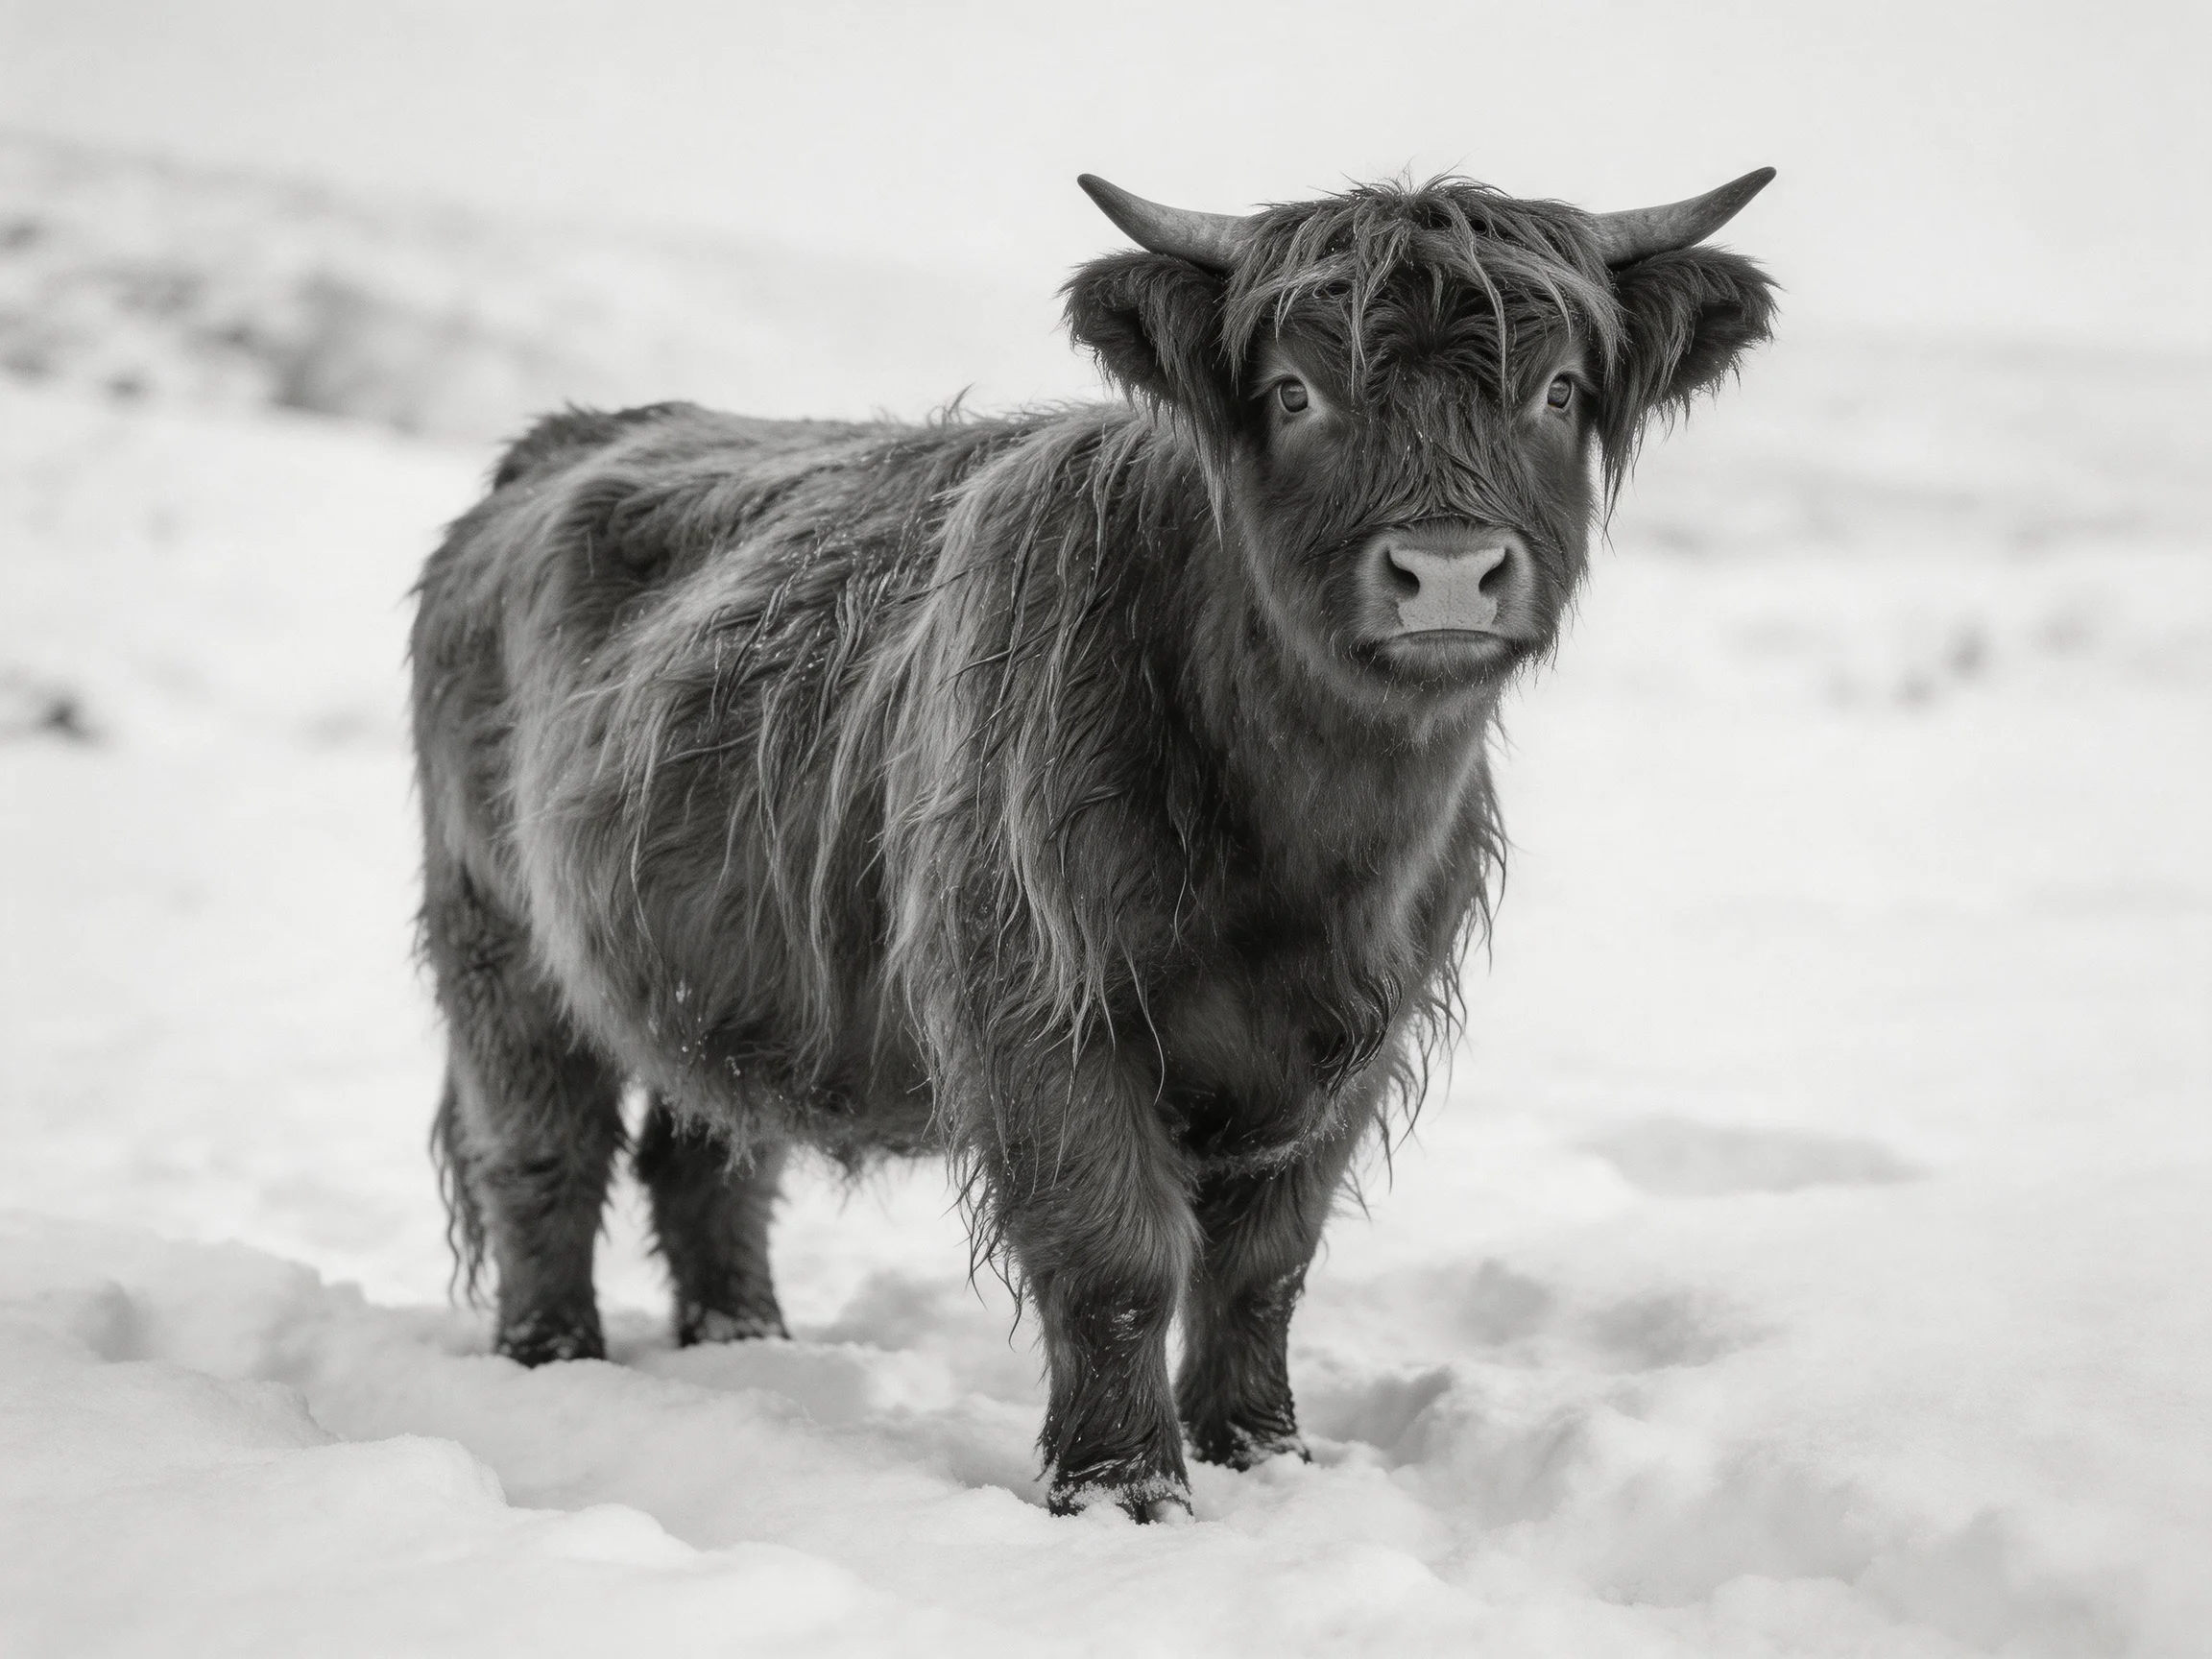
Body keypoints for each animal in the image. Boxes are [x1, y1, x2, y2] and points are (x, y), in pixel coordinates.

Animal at [410, 167, 1777, 1522]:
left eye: (1560, 389)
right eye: (1295, 390)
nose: (1447, 572)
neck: (1308, 851)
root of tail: (565, 438)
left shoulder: (1353, 1043)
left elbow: (1264, 1265)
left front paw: (1265, 1454)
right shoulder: (1045, 1014)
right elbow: (1117, 1256)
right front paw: (1128, 1493)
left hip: (719, 971)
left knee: (708, 1154)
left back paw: (747, 1344)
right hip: (498, 935)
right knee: (542, 1150)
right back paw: (554, 1361)